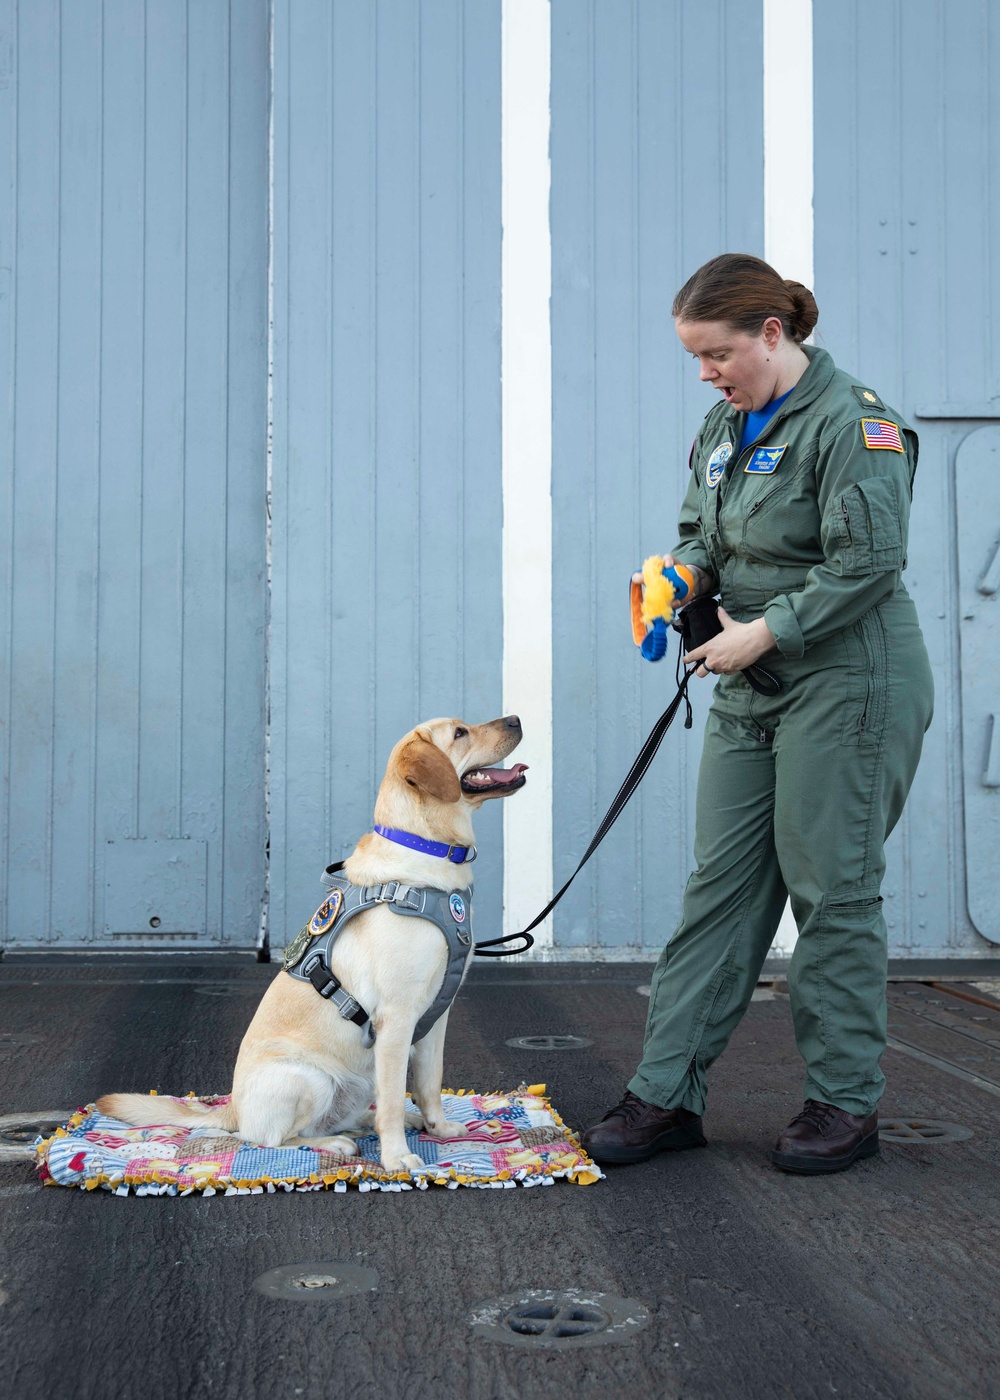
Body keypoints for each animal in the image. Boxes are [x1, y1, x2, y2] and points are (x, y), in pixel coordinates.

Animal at [97, 716, 526, 1176]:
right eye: (460, 733)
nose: (517, 719)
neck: (427, 854)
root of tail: (231, 1109)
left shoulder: (435, 1017)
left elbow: (430, 1083)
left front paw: (439, 1130)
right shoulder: (396, 1021)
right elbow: (395, 1098)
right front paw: (397, 1157)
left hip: (358, 1080)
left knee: (348, 1115)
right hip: (310, 1079)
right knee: (271, 1138)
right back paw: (336, 1144)